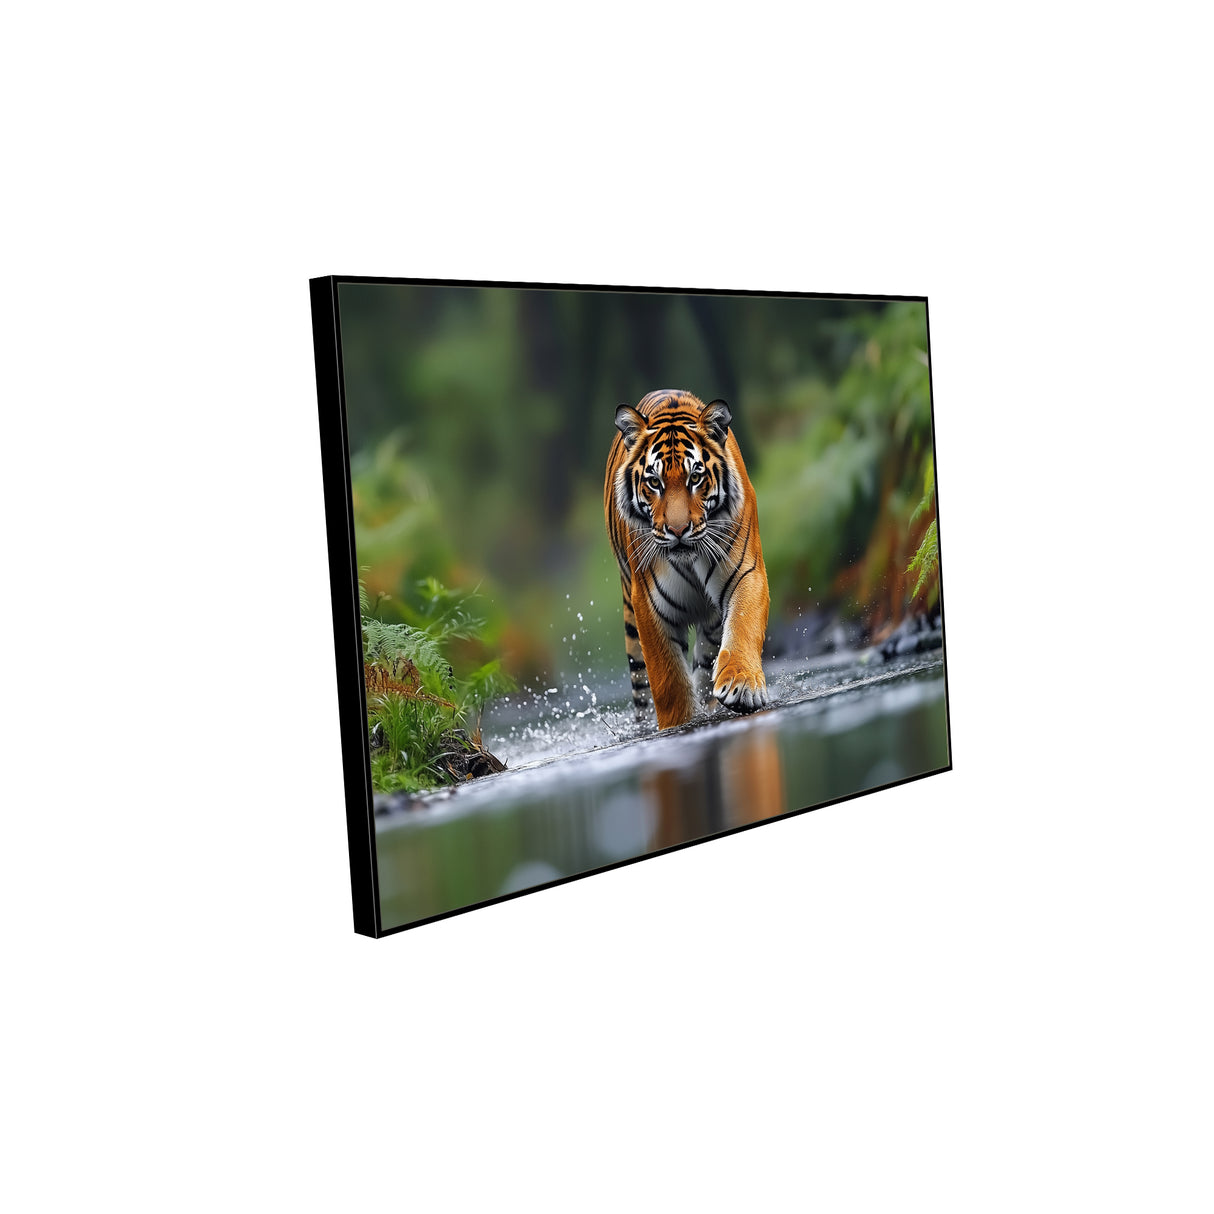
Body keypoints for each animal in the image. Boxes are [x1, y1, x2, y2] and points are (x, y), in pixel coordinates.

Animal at [604, 388, 770, 730]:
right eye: (654, 482)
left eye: (695, 477)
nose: (678, 530)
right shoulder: (649, 605)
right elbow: (668, 679)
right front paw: (679, 723)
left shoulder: (746, 572)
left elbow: (743, 625)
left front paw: (742, 686)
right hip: (632, 635)